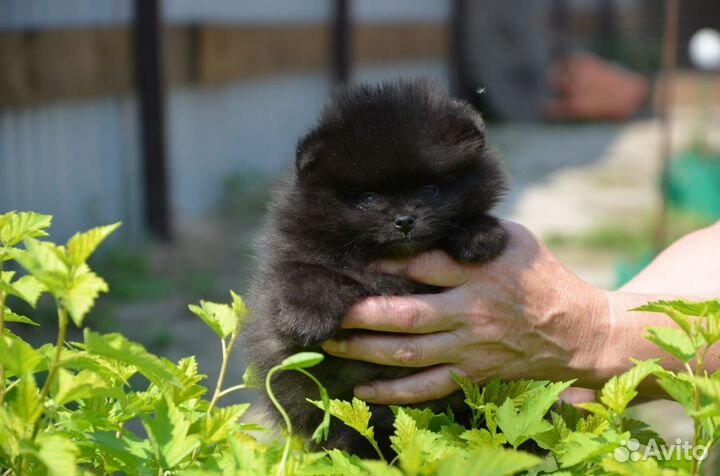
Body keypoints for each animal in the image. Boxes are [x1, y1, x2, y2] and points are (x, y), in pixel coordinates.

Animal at [245, 78, 510, 458]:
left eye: (430, 190)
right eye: (368, 198)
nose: (404, 220)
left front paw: (481, 234)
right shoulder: (294, 252)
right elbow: (304, 273)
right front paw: (306, 318)